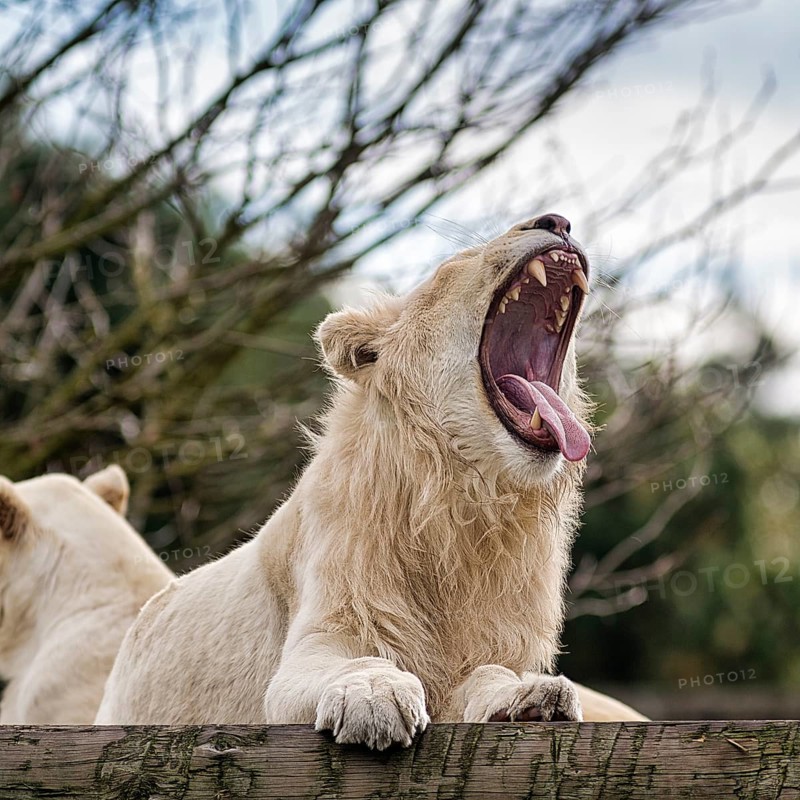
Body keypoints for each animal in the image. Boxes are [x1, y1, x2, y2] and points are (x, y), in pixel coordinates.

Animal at [97, 213, 643, 745]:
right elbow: (354, 660)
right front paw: (375, 696)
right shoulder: (317, 635)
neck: (464, 503)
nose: (558, 222)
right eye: (457, 264)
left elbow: (489, 673)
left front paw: (528, 696)